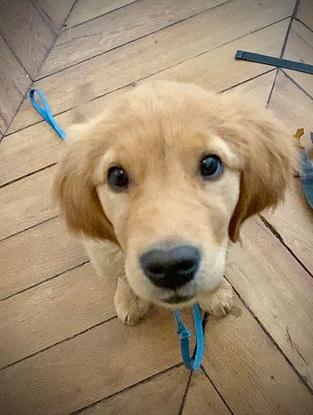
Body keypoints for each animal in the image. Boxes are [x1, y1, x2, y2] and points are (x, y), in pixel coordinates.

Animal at [53, 81, 294, 326]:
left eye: (210, 164)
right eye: (117, 176)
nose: (170, 267)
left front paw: (214, 294)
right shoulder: (103, 251)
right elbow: (121, 273)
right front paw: (130, 298)